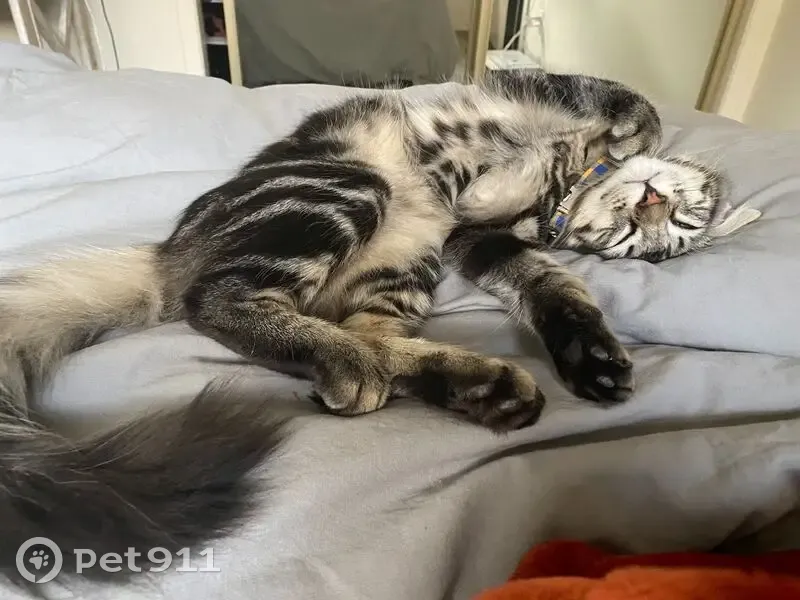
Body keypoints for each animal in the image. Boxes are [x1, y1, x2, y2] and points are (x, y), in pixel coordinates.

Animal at [0, 71, 725, 579]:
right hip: (345, 188)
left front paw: (590, 355)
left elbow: (554, 288)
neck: (563, 187)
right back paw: (367, 367)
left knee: (367, 339)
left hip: (402, 264)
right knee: (220, 301)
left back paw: (480, 388)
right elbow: (623, 100)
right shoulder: (527, 95)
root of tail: (169, 255)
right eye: (662, 221)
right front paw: (632, 136)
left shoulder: (477, 241)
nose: (652, 205)